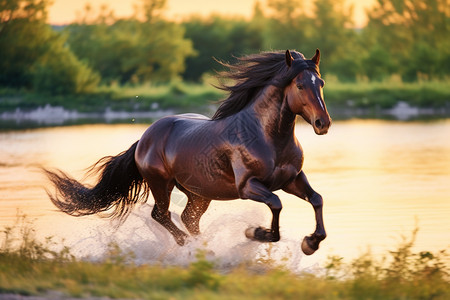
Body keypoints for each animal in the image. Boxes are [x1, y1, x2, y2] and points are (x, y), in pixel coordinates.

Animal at [45, 49, 330, 255]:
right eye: (300, 85)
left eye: (321, 82)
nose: (322, 123)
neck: (268, 138)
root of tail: (144, 138)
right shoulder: (248, 186)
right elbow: (276, 204)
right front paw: (256, 233)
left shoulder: (292, 179)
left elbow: (317, 199)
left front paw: (311, 243)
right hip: (161, 184)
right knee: (161, 215)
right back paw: (189, 245)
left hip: (199, 193)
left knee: (187, 218)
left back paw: (204, 246)